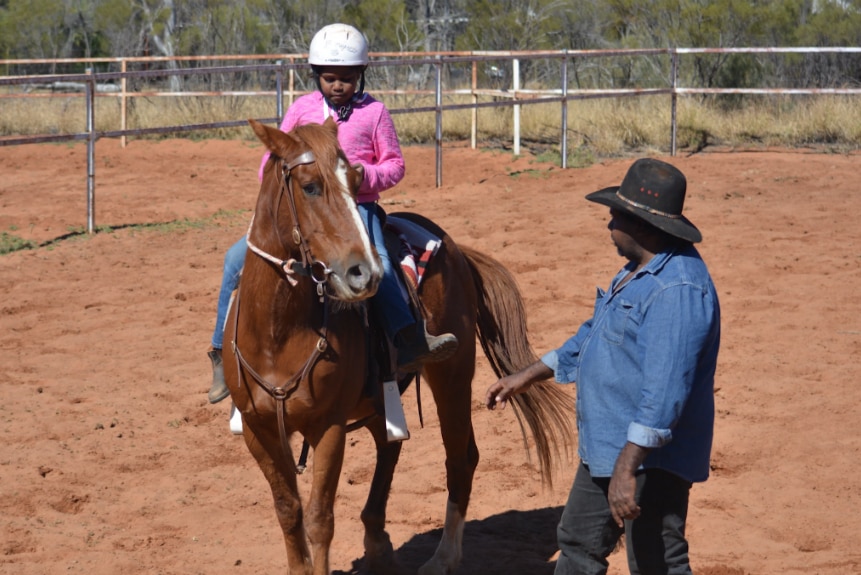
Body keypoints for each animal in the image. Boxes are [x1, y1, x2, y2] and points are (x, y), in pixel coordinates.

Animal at [222, 118, 576, 575]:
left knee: (460, 459)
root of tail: (457, 250)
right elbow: (288, 511)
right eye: (310, 186)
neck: (278, 336)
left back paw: (443, 557)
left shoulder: (329, 428)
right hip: (379, 397)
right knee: (390, 448)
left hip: (452, 376)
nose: (364, 272)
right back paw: (379, 544)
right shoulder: (257, 430)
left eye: (357, 181)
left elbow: (319, 517)